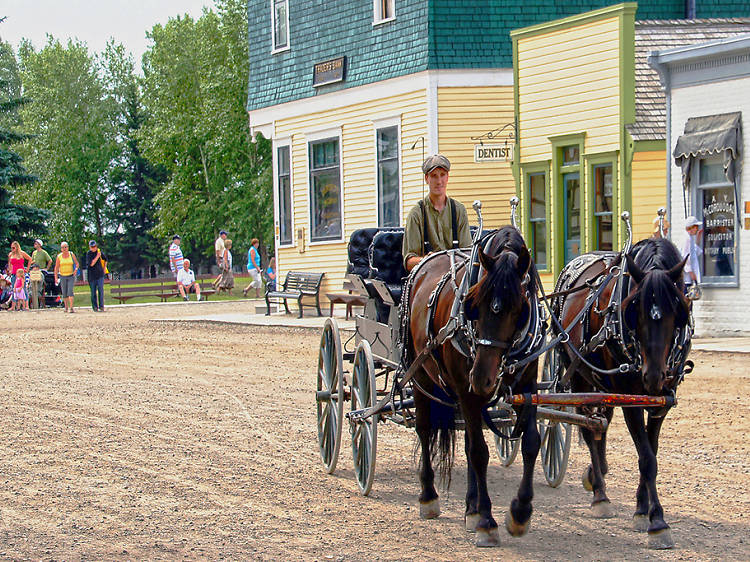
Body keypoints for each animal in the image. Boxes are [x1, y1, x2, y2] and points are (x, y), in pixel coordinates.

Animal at [408, 225, 544, 544]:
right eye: (473, 305)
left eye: (519, 308)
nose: (482, 378)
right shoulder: (467, 392)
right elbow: (480, 453)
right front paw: (486, 521)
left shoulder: (528, 386)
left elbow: (530, 443)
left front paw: (520, 512)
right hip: (421, 376)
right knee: (424, 429)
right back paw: (429, 496)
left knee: (469, 440)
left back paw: (471, 506)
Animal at [556, 236, 692, 548]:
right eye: (634, 311)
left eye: (677, 311)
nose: (653, 376)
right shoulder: (631, 400)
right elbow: (647, 459)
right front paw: (658, 522)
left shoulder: (660, 402)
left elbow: (651, 453)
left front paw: (642, 509)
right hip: (579, 378)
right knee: (590, 431)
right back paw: (600, 496)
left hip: (602, 385)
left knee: (600, 426)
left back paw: (597, 475)